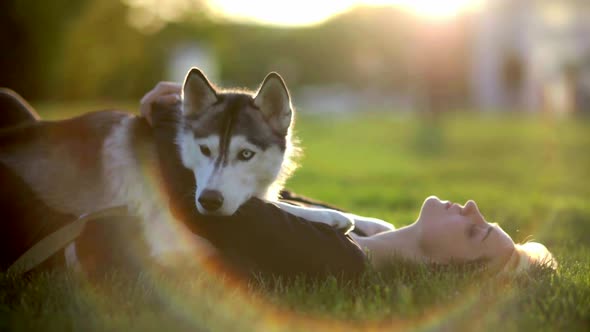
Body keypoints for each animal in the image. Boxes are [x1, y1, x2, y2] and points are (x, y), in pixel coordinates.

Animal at [0, 67, 356, 268]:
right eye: (205, 149)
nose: (208, 201)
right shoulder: (172, 236)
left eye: (246, 154)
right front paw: (329, 217)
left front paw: (335, 217)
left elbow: (273, 203)